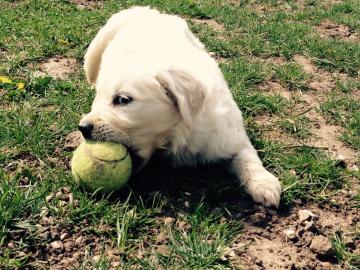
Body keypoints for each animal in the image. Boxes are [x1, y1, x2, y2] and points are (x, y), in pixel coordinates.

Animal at [79, 6, 282, 208]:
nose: (82, 128)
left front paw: (264, 184)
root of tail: (150, 11)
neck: (177, 134)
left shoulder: (231, 136)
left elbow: (248, 156)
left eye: (122, 100)